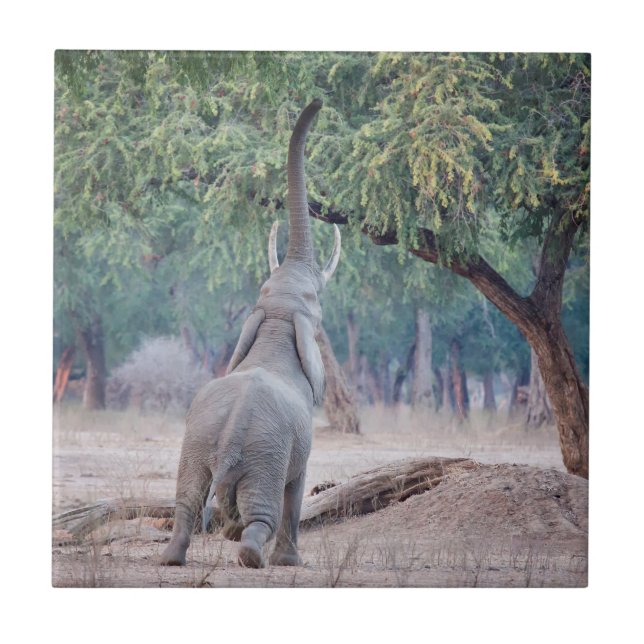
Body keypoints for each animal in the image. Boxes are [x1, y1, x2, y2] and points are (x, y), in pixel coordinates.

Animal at [158, 99, 340, 568]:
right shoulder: (299, 443)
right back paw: (251, 555)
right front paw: (291, 564)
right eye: (315, 300)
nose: (318, 101)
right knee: (265, 513)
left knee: (187, 503)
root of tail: (228, 443)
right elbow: (298, 486)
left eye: (264, 288)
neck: (276, 321)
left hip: (197, 446)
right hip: (265, 458)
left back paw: (173, 557)